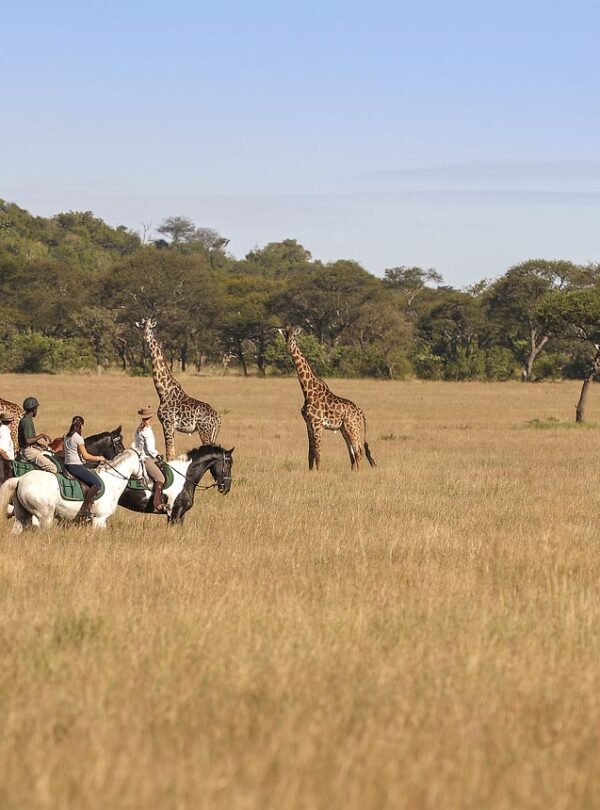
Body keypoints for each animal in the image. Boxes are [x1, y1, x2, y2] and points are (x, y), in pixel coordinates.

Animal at [0, 448, 144, 533]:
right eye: (143, 462)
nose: (142, 478)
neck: (111, 481)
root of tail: (20, 479)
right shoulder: (99, 520)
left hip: (22, 515)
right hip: (45, 517)